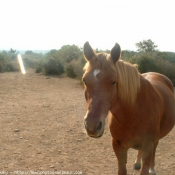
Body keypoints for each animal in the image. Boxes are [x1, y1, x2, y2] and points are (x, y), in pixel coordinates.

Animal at [82, 41, 175, 174]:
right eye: (84, 80)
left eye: (114, 81)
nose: (92, 126)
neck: (133, 114)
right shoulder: (118, 147)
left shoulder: (148, 147)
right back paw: (137, 163)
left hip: (155, 140)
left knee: (155, 148)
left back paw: (152, 168)